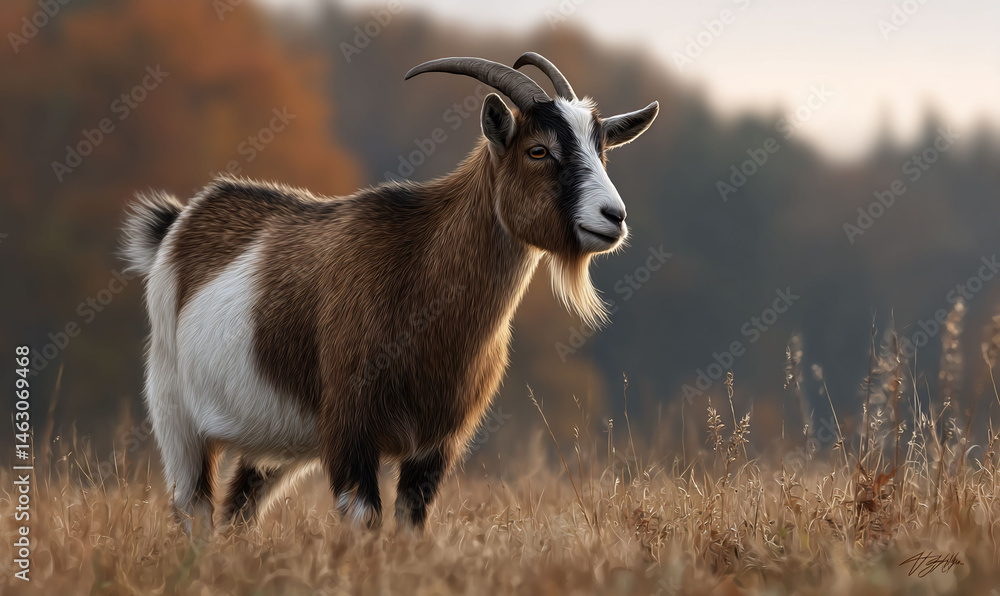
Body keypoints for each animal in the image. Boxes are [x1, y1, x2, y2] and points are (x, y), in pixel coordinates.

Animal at [121, 52, 658, 531]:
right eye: (538, 150)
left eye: (602, 151)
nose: (613, 217)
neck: (417, 273)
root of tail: (178, 223)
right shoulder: (349, 428)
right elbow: (365, 522)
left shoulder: (435, 444)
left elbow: (409, 523)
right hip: (175, 408)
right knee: (193, 508)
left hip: (277, 442)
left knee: (238, 511)